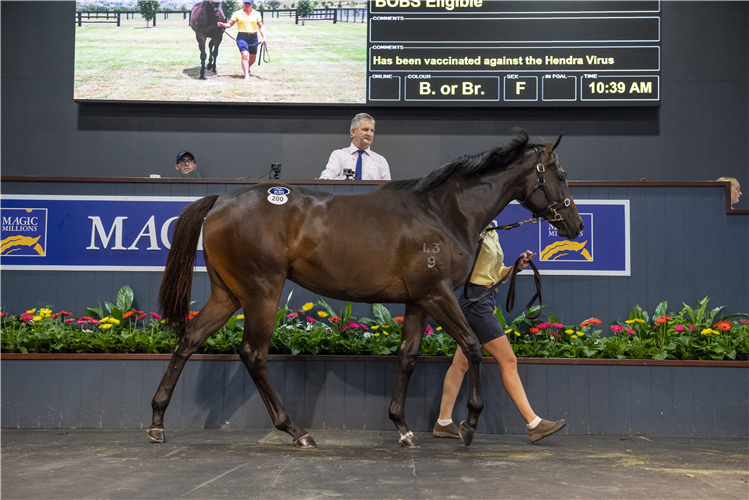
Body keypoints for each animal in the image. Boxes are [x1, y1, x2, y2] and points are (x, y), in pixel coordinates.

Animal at [148, 129, 584, 450]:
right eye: (562, 176)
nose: (576, 226)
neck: (444, 212)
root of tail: (220, 200)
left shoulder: (418, 300)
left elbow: (408, 356)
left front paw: (403, 429)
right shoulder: (438, 293)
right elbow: (474, 347)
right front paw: (469, 425)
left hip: (228, 294)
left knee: (189, 339)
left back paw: (156, 421)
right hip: (262, 292)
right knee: (253, 355)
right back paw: (296, 432)